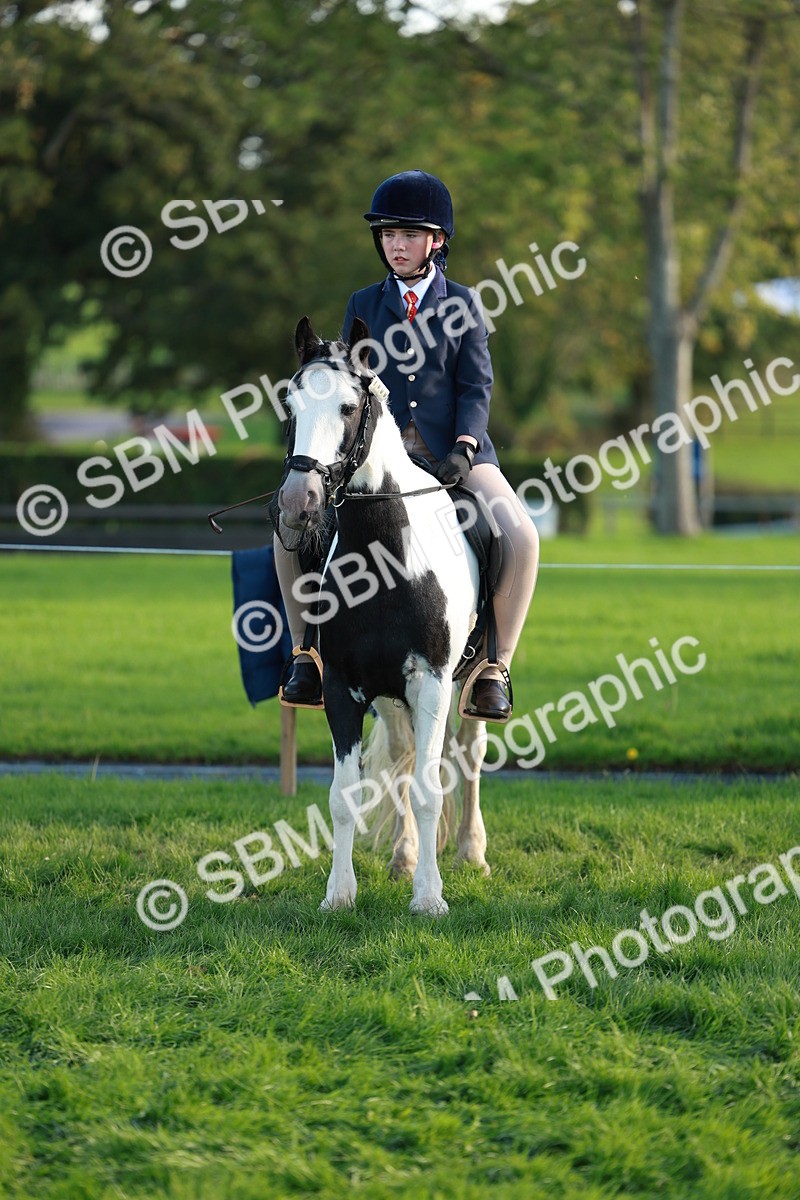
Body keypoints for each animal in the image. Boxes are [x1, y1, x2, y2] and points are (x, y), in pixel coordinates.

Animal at [276, 316, 491, 916]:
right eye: (290, 404)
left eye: (349, 407)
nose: (298, 502)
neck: (385, 559)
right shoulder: (342, 687)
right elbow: (344, 795)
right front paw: (339, 895)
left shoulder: (433, 681)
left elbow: (428, 788)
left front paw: (430, 899)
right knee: (402, 754)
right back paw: (403, 857)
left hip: (465, 680)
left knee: (468, 752)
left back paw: (471, 852)